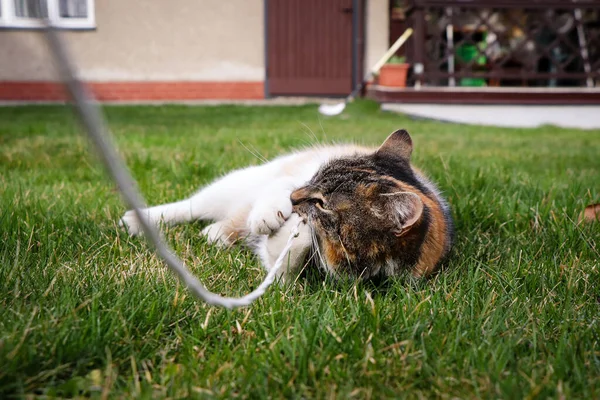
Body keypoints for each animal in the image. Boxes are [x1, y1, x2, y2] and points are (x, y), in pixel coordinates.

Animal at [119, 130, 452, 282]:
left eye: (323, 204)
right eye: (316, 176)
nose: (295, 198)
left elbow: (283, 262)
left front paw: (297, 231)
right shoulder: (292, 177)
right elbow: (277, 192)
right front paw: (271, 215)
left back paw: (217, 234)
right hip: (235, 184)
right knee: (190, 206)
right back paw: (138, 220)